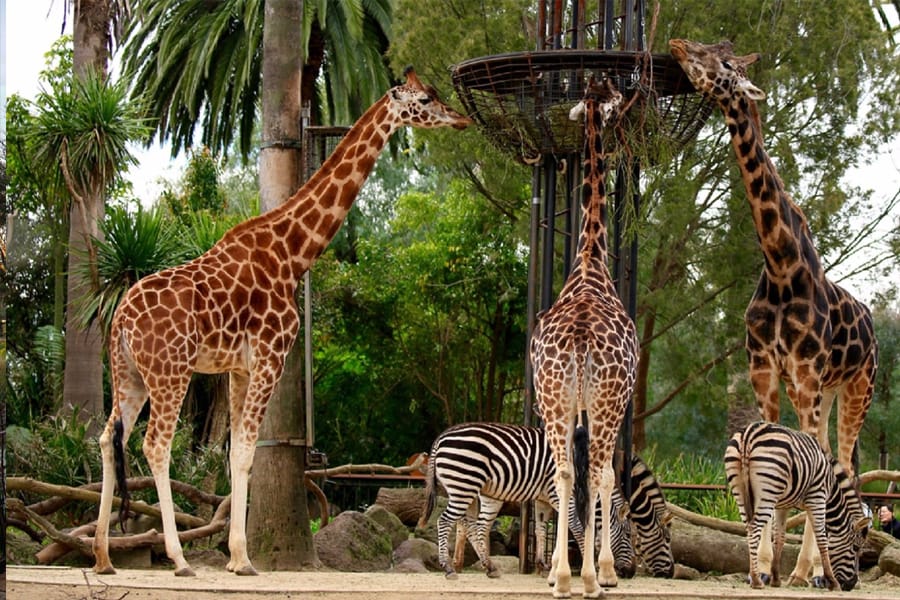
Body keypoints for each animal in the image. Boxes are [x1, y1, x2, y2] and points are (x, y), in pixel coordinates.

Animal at [91, 67, 472, 577]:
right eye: (426, 98)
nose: (461, 118)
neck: (293, 253)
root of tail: (120, 322)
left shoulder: (238, 367)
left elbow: (234, 451)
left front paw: (236, 557)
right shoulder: (271, 355)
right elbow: (246, 451)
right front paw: (242, 558)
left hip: (130, 374)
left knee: (106, 437)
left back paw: (102, 557)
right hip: (171, 372)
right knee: (155, 445)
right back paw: (178, 559)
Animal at [669, 39, 878, 587]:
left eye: (725, 63)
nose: (679, 45)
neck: (782, 266)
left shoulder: (804, 374)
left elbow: (812, 466)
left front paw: (798, 570)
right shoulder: (763, 372)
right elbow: (775, 459)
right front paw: (766, 565)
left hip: (856, 390)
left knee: (843, 462)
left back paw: (819, 570)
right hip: (828, 392)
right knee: (834, 460)